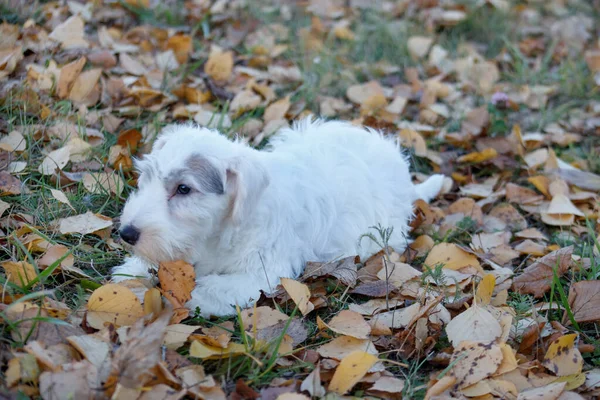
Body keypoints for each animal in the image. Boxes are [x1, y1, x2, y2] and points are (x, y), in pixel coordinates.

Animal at [112, 119, 442, 316]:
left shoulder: (260, 274)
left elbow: (208, 289)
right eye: (146, 178)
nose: (126, 233)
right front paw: (132, 276)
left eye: (183, 189)